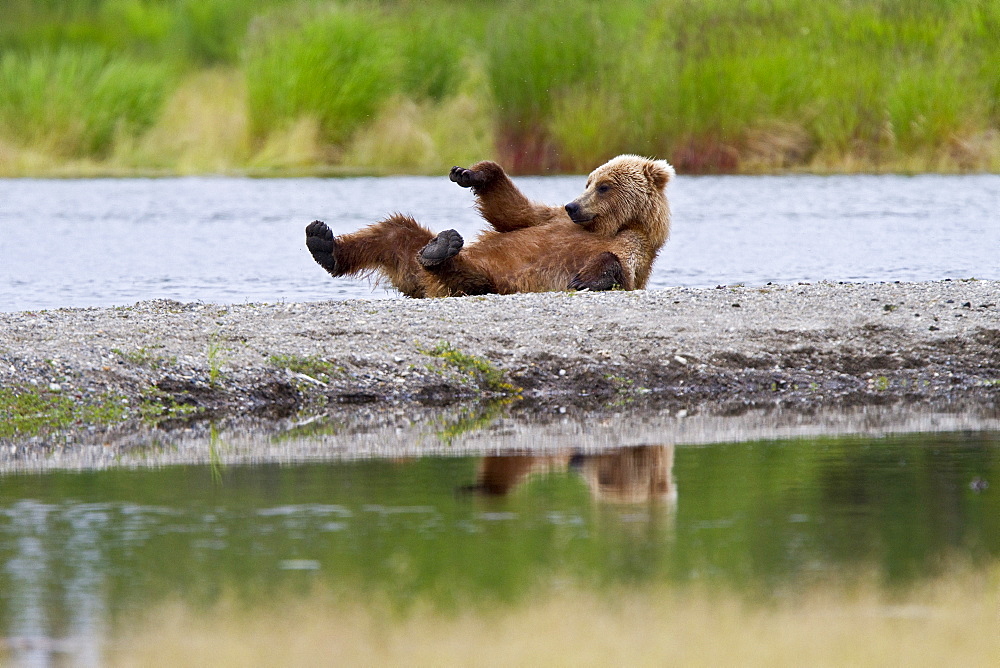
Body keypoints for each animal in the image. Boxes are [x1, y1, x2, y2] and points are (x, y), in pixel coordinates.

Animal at [304, 154, 676, 298]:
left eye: (604, 186)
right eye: (588, 182)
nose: (573, 205)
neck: (604, 227)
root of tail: (422, 282)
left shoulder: (636, 245)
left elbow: (623, 268)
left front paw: (587, 279)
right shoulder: (549, 217)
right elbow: (512, 212)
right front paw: (469, 173)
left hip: (491, 279)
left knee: (465, 273)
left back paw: (440, 250)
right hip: (409, 258)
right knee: (394, 230)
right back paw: (323, 242)